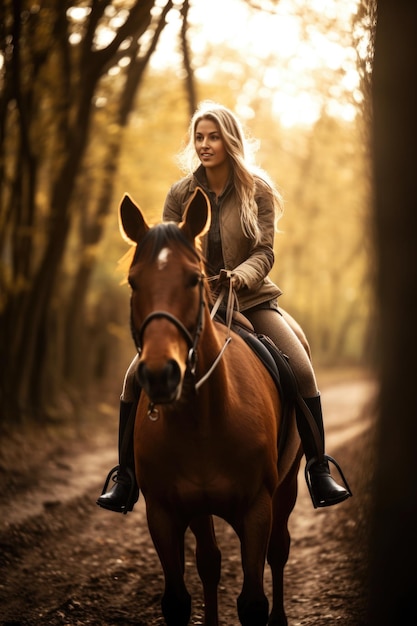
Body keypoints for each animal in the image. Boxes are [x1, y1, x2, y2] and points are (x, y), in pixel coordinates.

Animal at [118, 186, 300, 624]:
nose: (160, 374)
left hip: (287, 485)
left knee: (279, 550)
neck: (203, 419)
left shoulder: (257, 509)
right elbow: (179, 599)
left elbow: (253, 601)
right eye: (133, 282)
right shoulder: (163, 513)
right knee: (210, 562)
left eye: (194, 278)